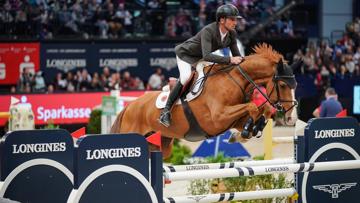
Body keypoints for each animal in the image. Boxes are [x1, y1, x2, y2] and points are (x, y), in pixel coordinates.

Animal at [110, 44, 300, 159]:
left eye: (296, 85)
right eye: (283, 85)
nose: (292, 118)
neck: (234, 81)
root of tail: (129, 107)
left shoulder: (233, 119)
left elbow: (262, 110)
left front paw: (245, 133)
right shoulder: (218, 118)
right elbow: (253, 106)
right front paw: (247, 131)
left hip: (161, 144)